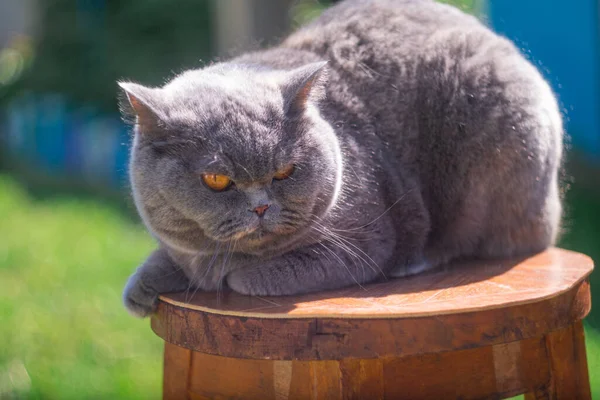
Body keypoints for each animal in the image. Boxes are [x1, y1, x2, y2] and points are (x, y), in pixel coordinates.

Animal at [118, 0, 564, 318]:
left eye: (285, 171)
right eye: (217, 181)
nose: (261, 207)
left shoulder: (364, 240)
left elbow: (259, 274)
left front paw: (231, 276)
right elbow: (173, 256)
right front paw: (145, 284)